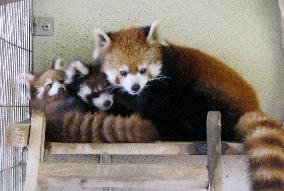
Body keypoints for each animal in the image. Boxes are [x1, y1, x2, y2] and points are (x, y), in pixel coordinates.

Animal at [93, 20, 284, 190]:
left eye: (143, 70)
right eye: (123, 72)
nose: (135, 87)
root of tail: (251, 107)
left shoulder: (164, 86)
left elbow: (153, 111)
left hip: (209, 96)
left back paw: (169, 132)